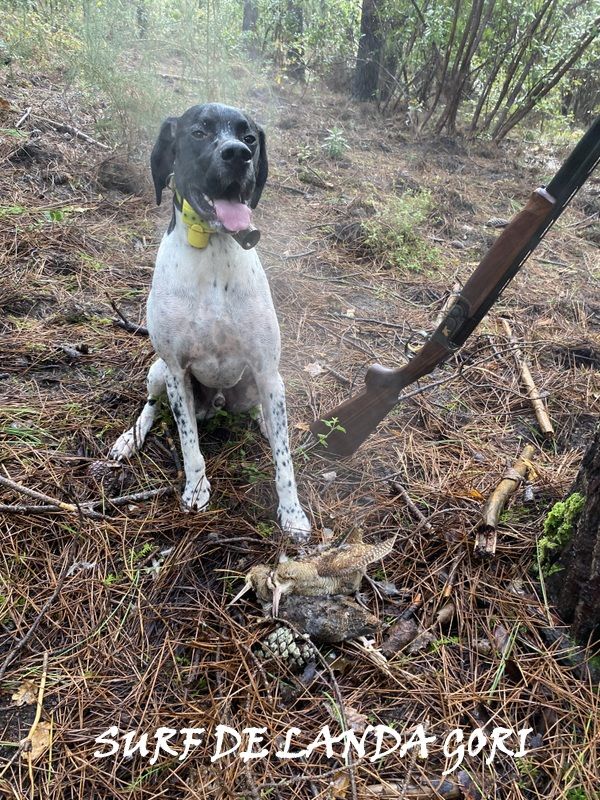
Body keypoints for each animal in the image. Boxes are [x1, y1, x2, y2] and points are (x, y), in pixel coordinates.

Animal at [109, 103, 312, 544]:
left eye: (250, 137)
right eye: (199, 132)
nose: (238, 155)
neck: (215, 248)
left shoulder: (268, 370)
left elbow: (284, 460)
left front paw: (292, 513)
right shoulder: (176, 370)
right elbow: (189, 445)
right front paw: (196, 488)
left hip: (260, 384)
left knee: (266, 414)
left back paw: (266, 423)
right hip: (156, 372)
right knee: (151, 407)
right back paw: (129, 439)